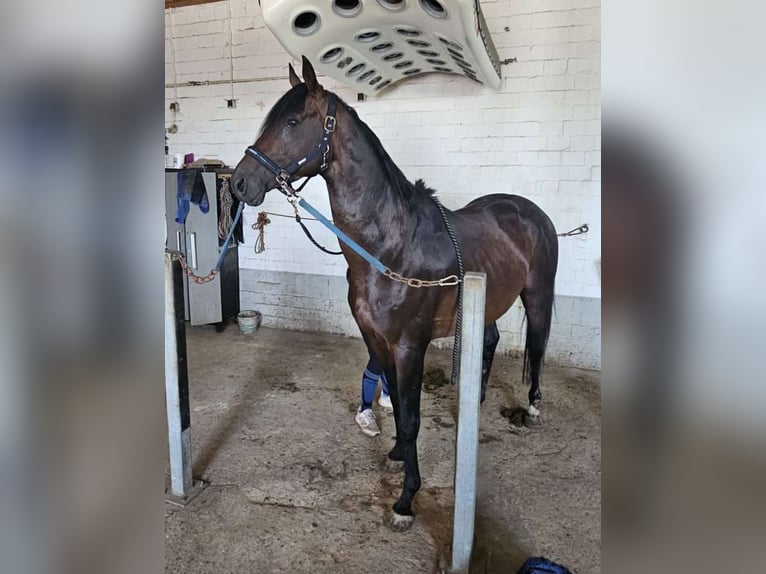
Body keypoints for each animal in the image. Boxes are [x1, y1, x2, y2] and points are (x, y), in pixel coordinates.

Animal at [228, 56, 560, 532]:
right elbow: (397, 408)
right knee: (491, 341)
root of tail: (531, 211)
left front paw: (406, 499)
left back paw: (532, 408)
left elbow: (412, 416)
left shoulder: (409, 347)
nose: (238, 183)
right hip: (489, 301)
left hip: (537, 298)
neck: (390, 247)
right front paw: (399, 455)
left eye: (291, 122)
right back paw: (475, 399)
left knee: (538, 346)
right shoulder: (377, 340)